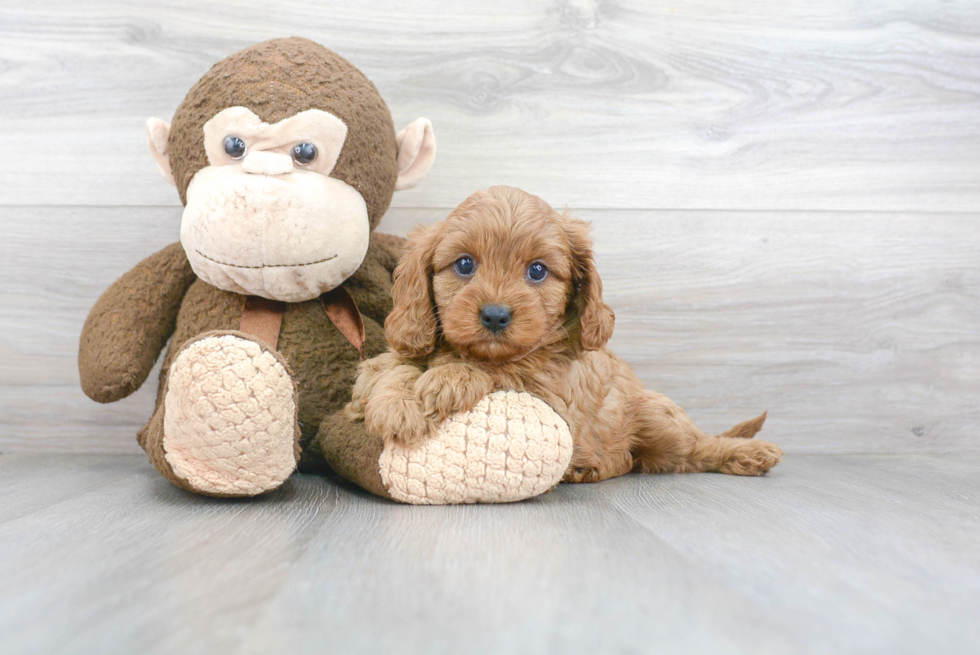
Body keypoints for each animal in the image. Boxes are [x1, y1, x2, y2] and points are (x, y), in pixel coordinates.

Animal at [348, 184, 784, 482]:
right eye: (465, 264)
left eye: (538, 271)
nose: (495, 316)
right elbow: (394, 365)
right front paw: (395, 402)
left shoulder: (549, 394)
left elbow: (501, 370)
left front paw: (450, 376)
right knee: (632, 461)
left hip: (658, 419)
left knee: (693, 449)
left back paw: (749, 453)